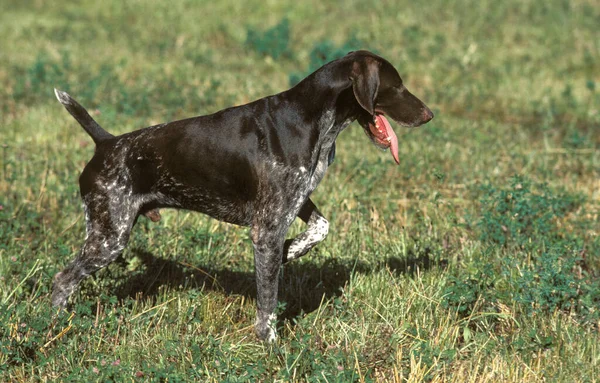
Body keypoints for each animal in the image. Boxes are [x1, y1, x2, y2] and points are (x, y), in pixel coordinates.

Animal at [51, 49, 434, 340]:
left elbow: (320, 228)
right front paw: (270, 344)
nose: (429, 115)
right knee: (62, 280)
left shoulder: (293, 201)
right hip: (109, 237)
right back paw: (53, 326)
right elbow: (267, 300)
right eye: (396, 85)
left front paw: (291, 250)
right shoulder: (267, 227)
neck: (311, 117)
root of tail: (107, 142)